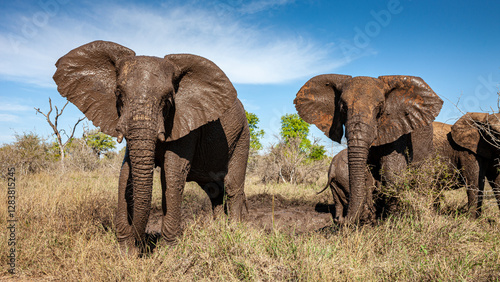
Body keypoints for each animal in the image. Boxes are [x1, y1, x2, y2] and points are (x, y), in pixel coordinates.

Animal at [51, 40, 250, 254]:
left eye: (168, 100)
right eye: (118, 95)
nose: (140, 243)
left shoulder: (185, 123)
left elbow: (172, 173)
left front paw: (167, 251)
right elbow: (126, 172)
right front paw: (125, 251)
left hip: (243, 136)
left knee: (231, 185)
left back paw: (233, 231)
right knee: (214, 190)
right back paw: (218, 230)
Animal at [294, 74, 444, 224]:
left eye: (380, 108)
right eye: (343, 108)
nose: (340, 219)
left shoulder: (397, 129)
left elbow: (391, 173)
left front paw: (392, 221)